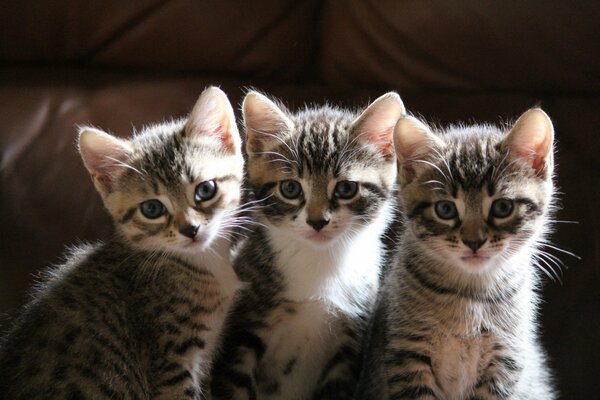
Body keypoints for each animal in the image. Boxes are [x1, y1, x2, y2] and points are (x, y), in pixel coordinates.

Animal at [209, 91, 406, 400]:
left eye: (346, 189)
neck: (320, 260)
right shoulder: (241, 332)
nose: (317, 221)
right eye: (290, 189)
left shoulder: (350, 340)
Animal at [356, 109, 556, 400]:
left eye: (503, 207)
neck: (471, 295)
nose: (474, 241)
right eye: (445, 209)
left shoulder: (505, 360)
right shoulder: (408, 356)